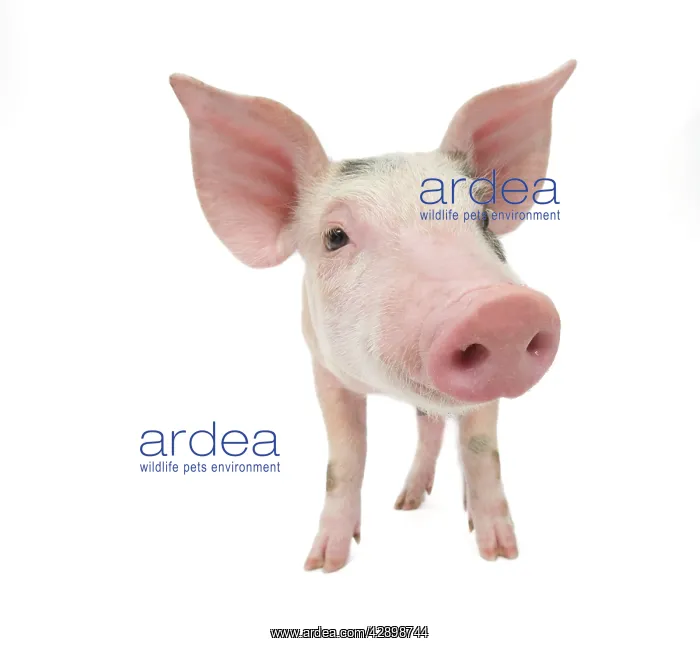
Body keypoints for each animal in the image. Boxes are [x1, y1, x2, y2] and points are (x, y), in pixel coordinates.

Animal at [170, 60, 576, 573]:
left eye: (482, 218)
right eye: (335, 236)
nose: (501, 309)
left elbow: (482, 451)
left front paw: (501, 554)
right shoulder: (323, 368)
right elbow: (346, 458)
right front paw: (324, 564)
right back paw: (406, 504)